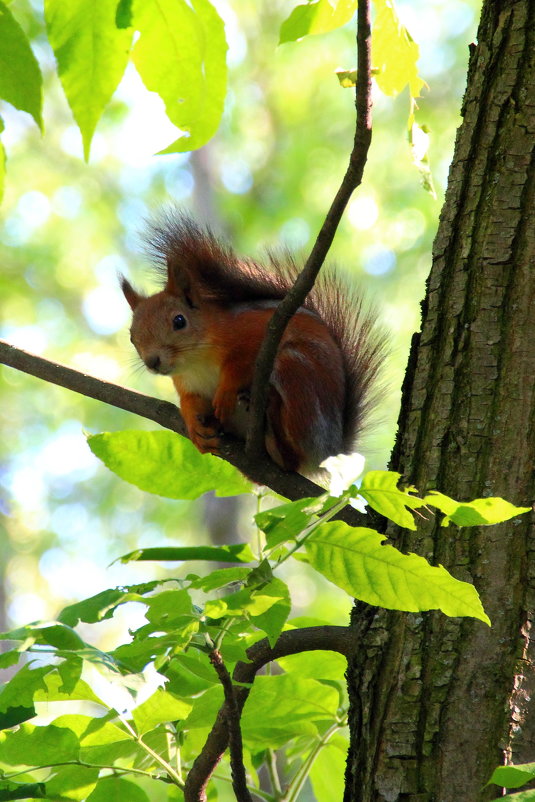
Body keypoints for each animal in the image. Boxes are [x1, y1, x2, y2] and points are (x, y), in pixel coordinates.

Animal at [121, 214, 386, 476]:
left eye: (179, 321)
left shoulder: (257, 331)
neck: (196, 361)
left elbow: (241, 363)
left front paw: (226, 391)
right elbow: (190, 400)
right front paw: (193, 423)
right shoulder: (187, 383)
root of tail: (330, 451)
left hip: (298, 376)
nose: (152, 362)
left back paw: (273, 417)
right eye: (132, 336)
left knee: (292, 458)